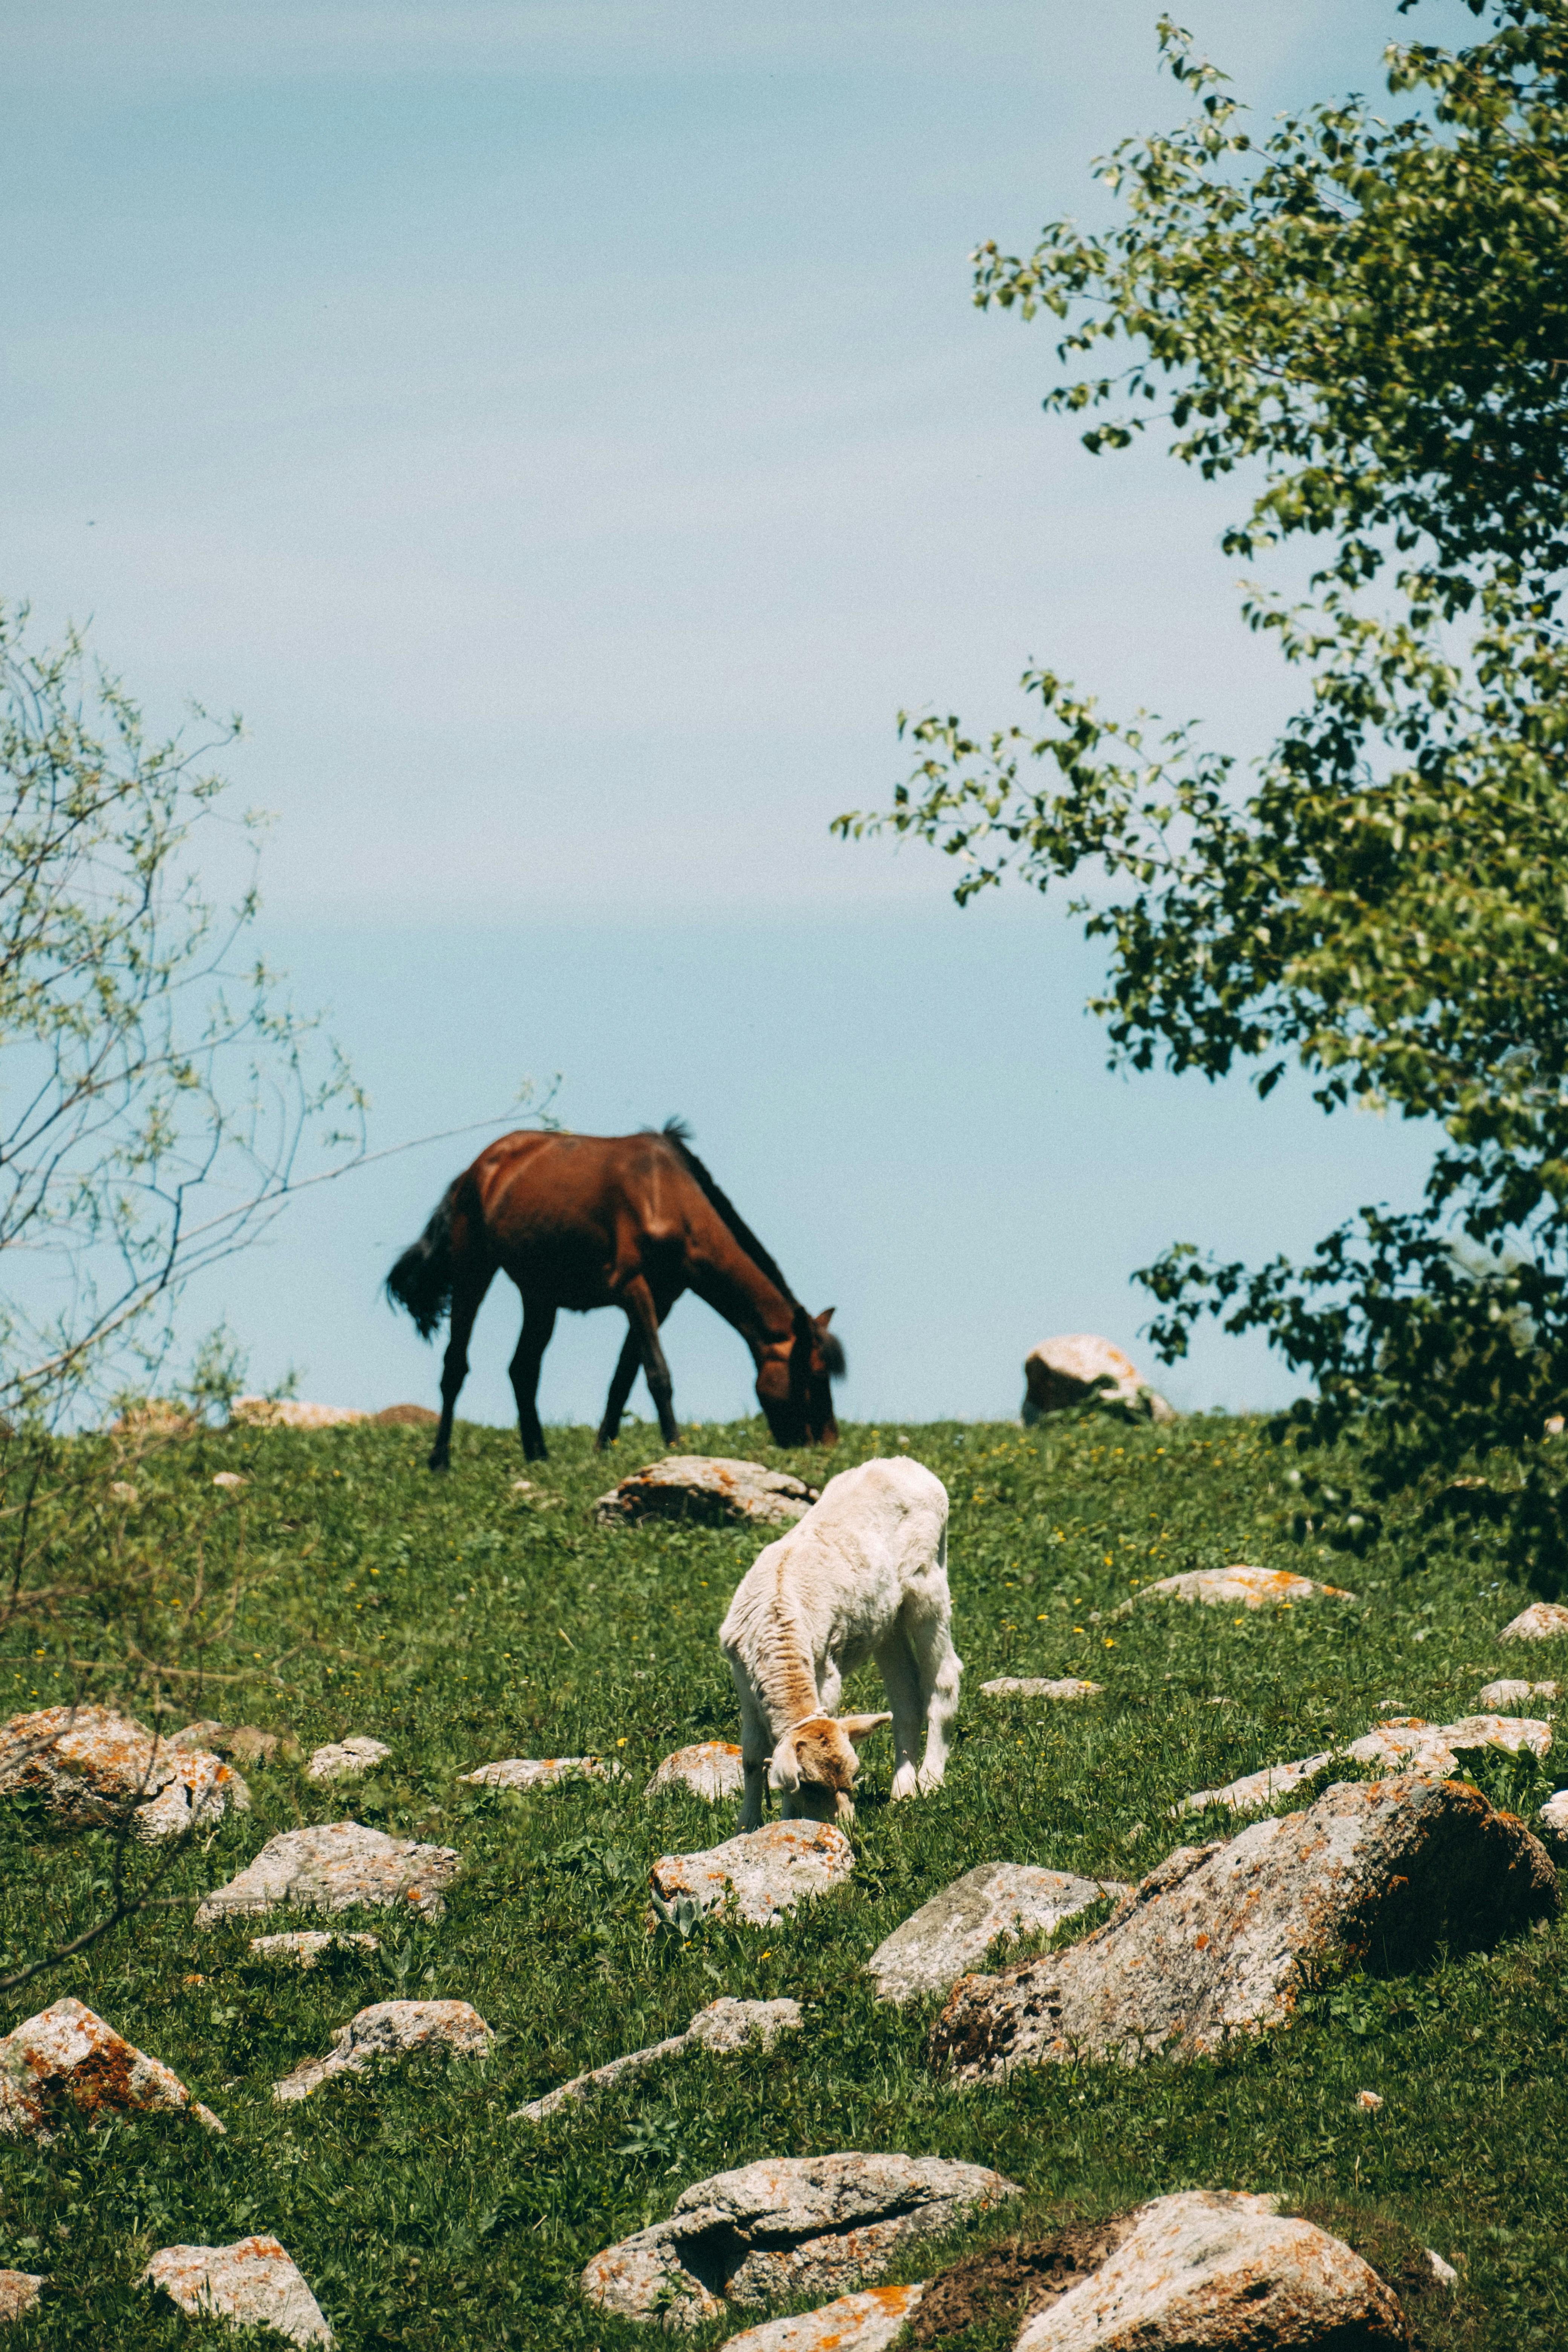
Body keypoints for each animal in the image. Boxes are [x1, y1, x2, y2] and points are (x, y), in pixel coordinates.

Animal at [384, 1121, 844, 1470]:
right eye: (812, 1376)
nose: (828, 1445)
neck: (666, 1195)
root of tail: (476, 1170)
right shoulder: (633, 1289)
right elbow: (658, 1374)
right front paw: (676, 1447)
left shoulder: (662, 1299)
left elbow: (623, 1379)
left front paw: (603, 1448)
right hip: (473, 1272)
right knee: (456, 1365)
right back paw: (440, 1460)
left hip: (540, 1295)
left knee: (523, 1369)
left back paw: (538, 1456)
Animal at [718, 1456, 961, 1831]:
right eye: (811, 1783)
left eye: (855, 1773)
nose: (847, 1826)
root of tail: (906, 1464)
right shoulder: (742, 1679)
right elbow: (753, 1756)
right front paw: (747, 1826)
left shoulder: (826, 1670)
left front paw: (788, 1821)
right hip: (885, 1618)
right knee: (905, 1695)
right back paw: (903, 1789)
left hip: (928, 1579)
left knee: (944, 1679)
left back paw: (931, 1780)